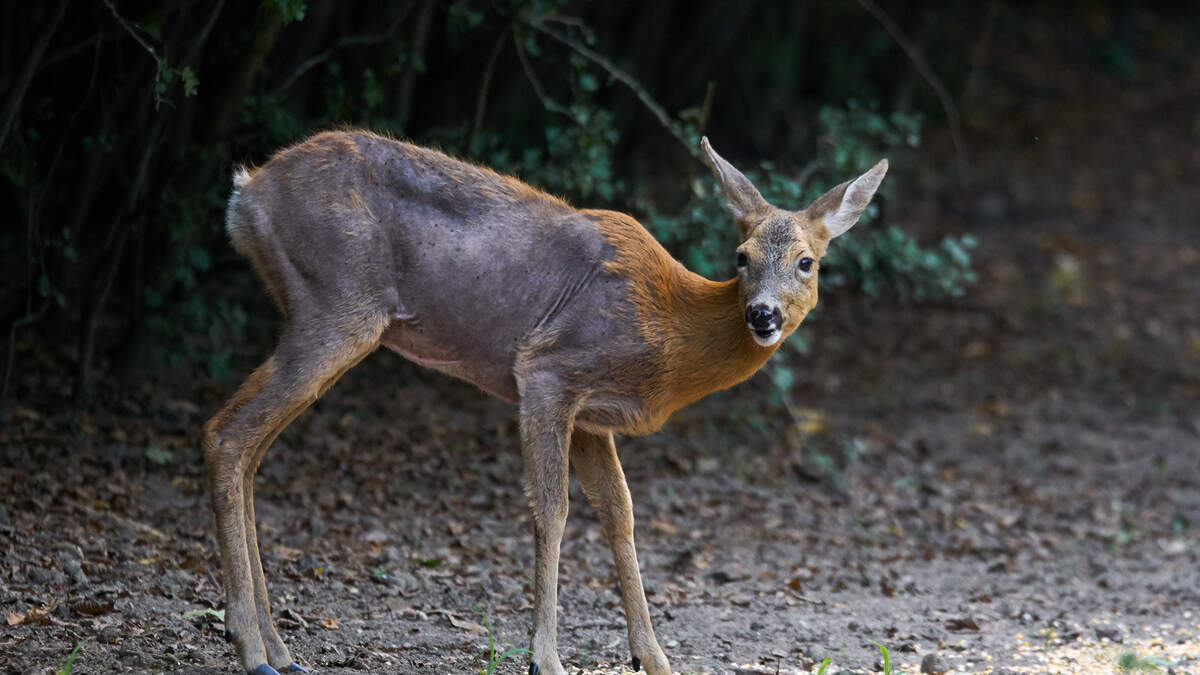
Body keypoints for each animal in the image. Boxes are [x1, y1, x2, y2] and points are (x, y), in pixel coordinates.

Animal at [204, 130, 883, 672]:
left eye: (807, 262)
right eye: (741, 257)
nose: (762, 314)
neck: (667, 331)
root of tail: (247, 194)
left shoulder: (592, 416)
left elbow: (620, 513)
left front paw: (654, 658)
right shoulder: (547, 371)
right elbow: (552, 511)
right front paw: (545, 658)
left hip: (318, 311)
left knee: (246, 447)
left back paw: (280, 651)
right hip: (338, 304)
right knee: (226, 433)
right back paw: (253, 649)